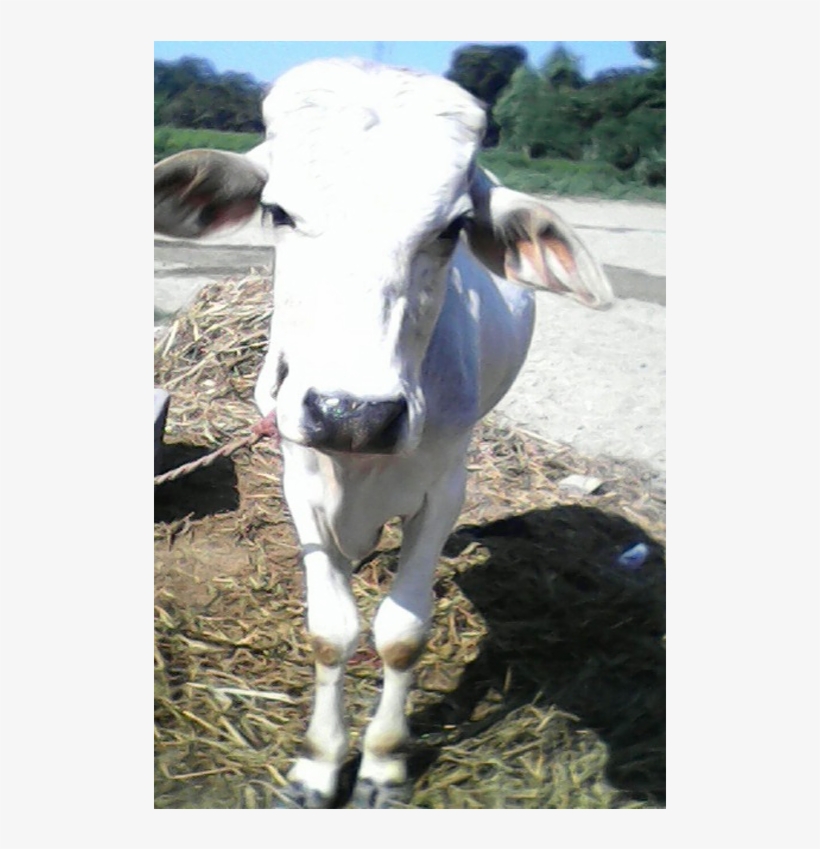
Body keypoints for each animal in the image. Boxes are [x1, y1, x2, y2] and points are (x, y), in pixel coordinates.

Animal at [154, 57, 613, 808]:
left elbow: (401, 635)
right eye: (277, 211)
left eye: (454, 227)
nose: (353, 413)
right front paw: (318, 764)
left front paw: (382, 763)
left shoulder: (446, 486)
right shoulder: (299, 477)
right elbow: (330, 632)